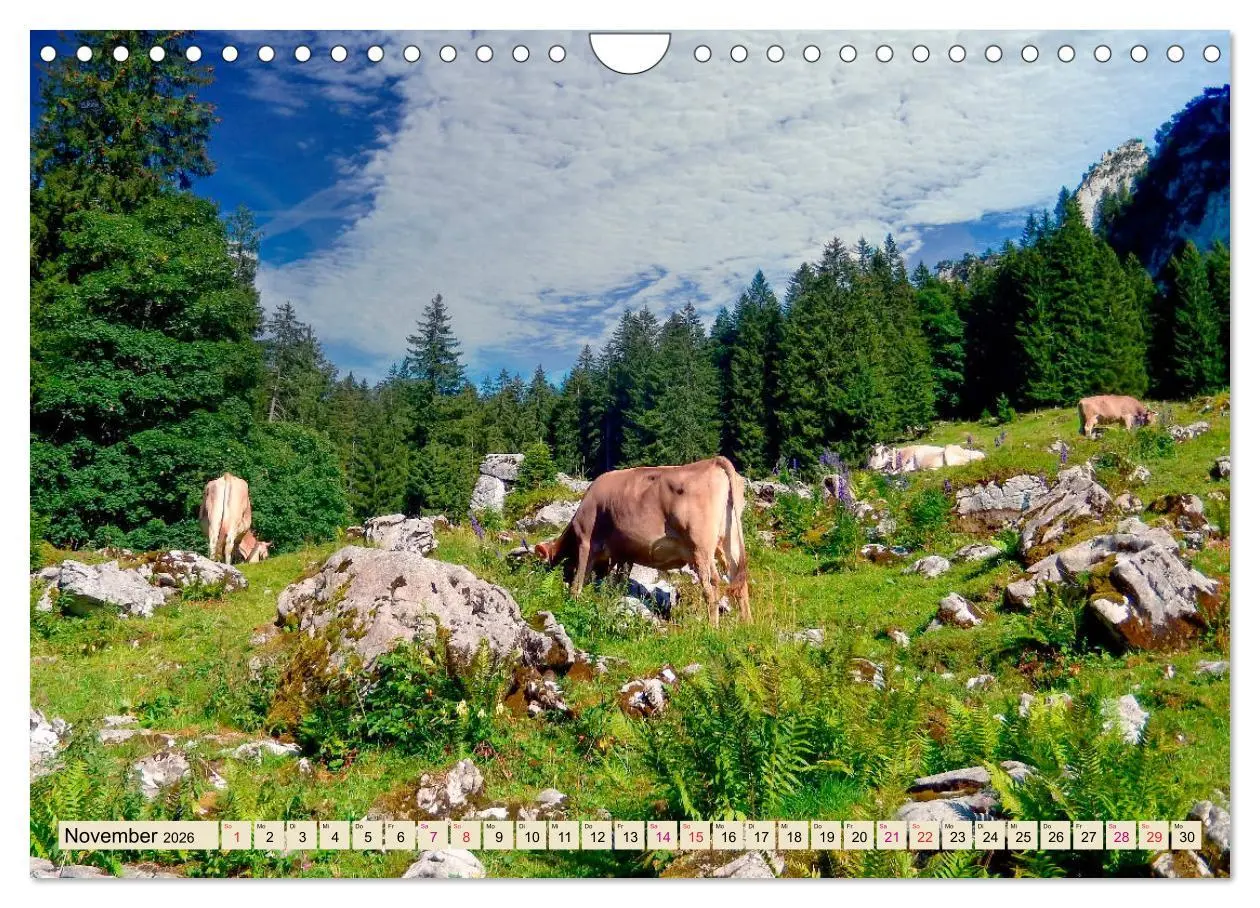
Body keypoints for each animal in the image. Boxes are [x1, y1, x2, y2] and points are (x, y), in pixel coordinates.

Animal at [533, 456, 749, 627]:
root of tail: (713, 461)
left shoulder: (586, 540)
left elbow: (581, 576)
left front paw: (574, 600)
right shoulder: (625, 553)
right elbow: (620, 579)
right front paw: (614, 600)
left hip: (701, 547)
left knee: (713, 583)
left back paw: (712, 628)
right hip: (729, 543)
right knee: (740, 581)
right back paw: (747, 625)